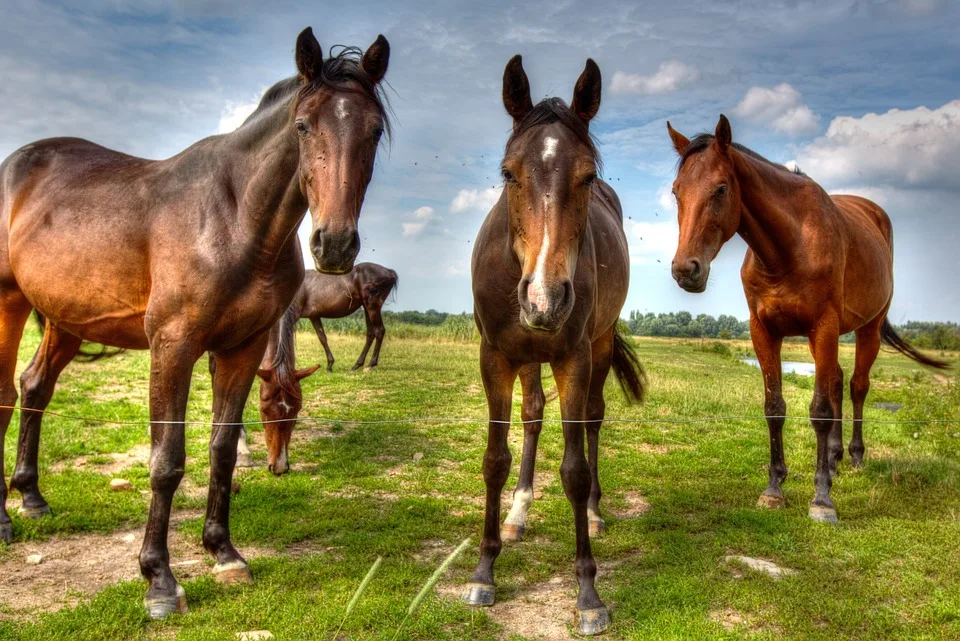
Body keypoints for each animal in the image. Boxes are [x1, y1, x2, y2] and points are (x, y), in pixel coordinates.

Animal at [0, 26, 390, 620]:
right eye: (303, 126)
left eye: (373, 130)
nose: (336, 244)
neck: (235, 218)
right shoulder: (174, 346)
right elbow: (167, 460)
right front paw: (159, 579)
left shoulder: (242, 348)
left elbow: (222, 449)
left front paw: (224, 552)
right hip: (8, 304)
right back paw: (3, 520)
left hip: (67, 321)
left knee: (34, 387)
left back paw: (31, 497)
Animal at [460, 55, 640, 636]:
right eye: (507, 173)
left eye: (587, 176)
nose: (544, 298)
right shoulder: (495, 356)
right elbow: (495, 458)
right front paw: (484, 570)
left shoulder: (573, 357)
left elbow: (576, 470)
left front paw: (588, 593)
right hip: (526, 356)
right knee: (535, 413)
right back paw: (518, 513)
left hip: (598, 346)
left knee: (593, 419)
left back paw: (596, 514)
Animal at [664, 115, 948, 524]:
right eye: (676, 191)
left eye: (720, 189)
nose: (686, 270)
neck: (787, 248)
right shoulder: (764, 331)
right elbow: (775, 408)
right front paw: (774, 488)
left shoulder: (823, 326)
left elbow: (820, 411)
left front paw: (822, 499)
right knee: (837, 380)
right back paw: (833, 458)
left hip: (868, 329)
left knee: (857, 386)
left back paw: (854, 457)